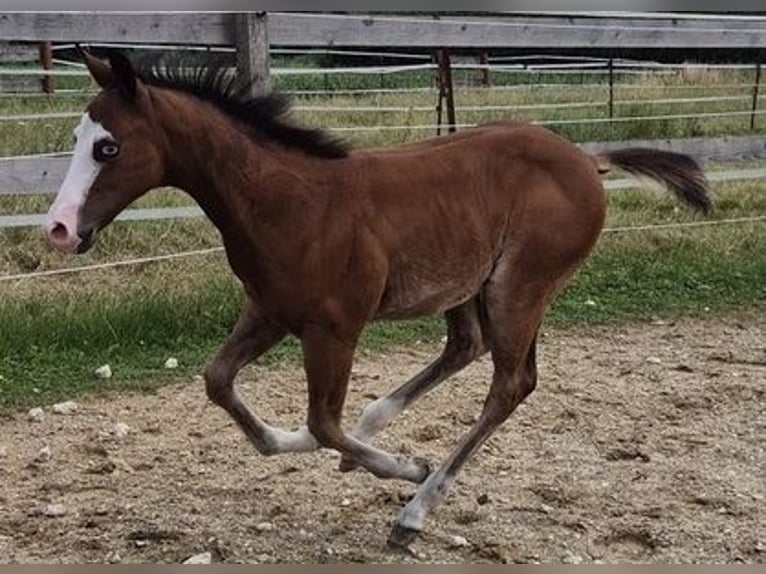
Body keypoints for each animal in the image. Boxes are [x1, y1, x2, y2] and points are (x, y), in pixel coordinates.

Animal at [44, 48, 711, 548]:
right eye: (77, 135)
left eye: (108, 148)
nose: (59, 229)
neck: (290, 204)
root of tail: (587, 159)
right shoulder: (269, 312)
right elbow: (220, 383)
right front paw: (300, 442)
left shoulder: (335, 329)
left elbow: (323, 421)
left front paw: (405, 465)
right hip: (467, 284)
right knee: (464, 348)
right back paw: (379, 430)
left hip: (520, 288)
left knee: (510, 385)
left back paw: (414, 509)